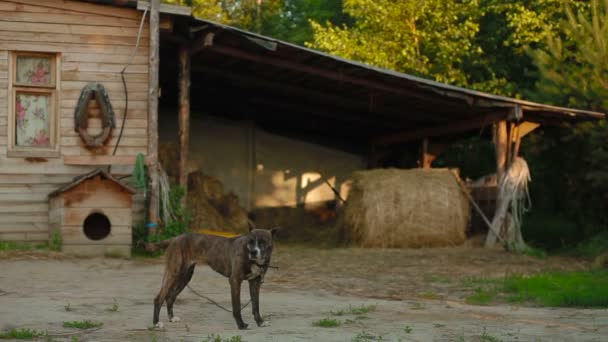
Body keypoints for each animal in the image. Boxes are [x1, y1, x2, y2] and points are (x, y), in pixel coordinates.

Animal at [148, 227, 276, 328]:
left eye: (263, 242)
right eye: (251, 241)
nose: (253, 252)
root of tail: (175, 238)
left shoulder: (255, 283)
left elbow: (256, 305)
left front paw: (260, 322)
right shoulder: (235, 280)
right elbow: (236, 307)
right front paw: (241, 325)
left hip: (185, 277)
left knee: (170, 297)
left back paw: (171, 318)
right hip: (174, 273)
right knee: (159, 298)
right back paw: (156, 323)